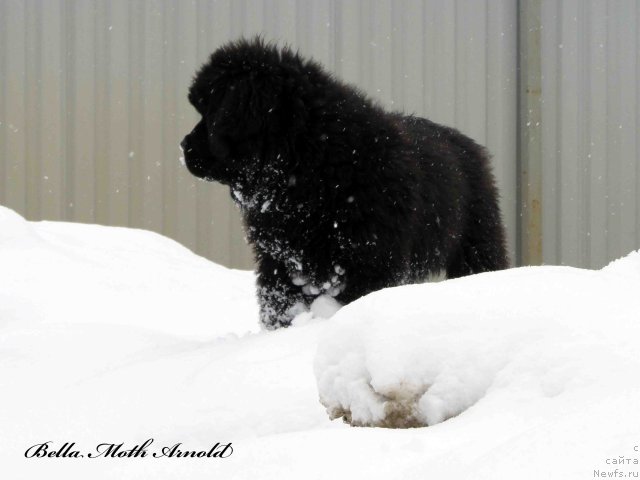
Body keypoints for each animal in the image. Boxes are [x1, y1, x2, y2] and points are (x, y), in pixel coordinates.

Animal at [181, 38, 510, 330]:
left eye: (209, 113)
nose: (183, 146)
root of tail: (468, 144)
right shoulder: (281, 260)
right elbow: (278, 305)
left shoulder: (371, 258)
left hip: (477, 242)